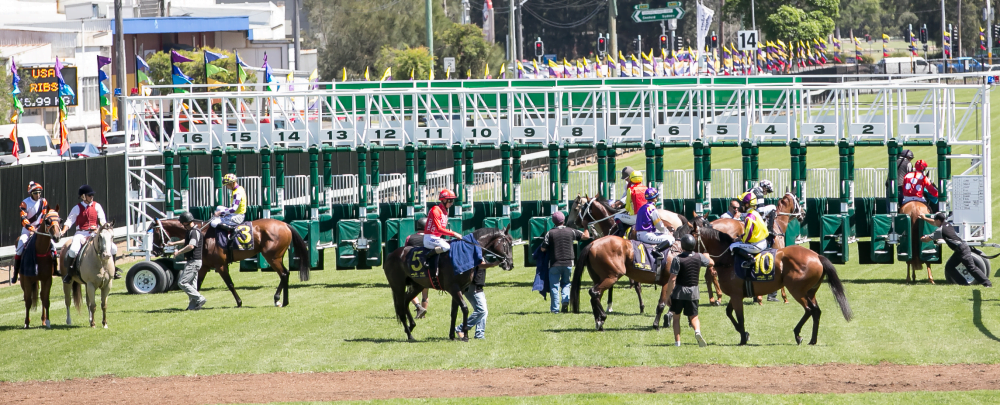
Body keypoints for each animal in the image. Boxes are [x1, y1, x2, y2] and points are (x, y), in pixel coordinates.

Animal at [149, 218, 308, 306]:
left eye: (155, 232)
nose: (155, 252)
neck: (203, 233)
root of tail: (285, 225)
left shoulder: (220, 265)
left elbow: (230, 284)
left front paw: (239, 302)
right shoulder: (204, 266)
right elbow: (197, 285)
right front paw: (193, 304)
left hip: (272, 257)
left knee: (283, 274)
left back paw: (278, 299)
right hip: (276, 257)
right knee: (285, 274)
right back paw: (283, 300)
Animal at [384, 226, 516, 340]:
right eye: (508, 244)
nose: (510, 264)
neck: (464, 254)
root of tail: (391, 254)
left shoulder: (459, 289)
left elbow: (454, 312)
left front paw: (452, 335)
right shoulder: (453, 288)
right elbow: (465, 308)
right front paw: (465, 335)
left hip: (418, 285)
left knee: (406, 301)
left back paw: (411, 326)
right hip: (398, 286)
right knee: (401, 308)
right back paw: (410, 335)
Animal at [692, 211, 856, 344]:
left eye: (689, 235)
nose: (685, 251)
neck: (728, 259)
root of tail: (817, 256)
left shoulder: (737, 295)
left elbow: (739, 316)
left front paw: (743, 338)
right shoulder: (735, 294)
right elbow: (729, 313)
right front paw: (745, 334)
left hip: (797, 290)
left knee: (810, 310)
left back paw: (798, 334)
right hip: (810, 292)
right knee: (816, 311)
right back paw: (812, 340)